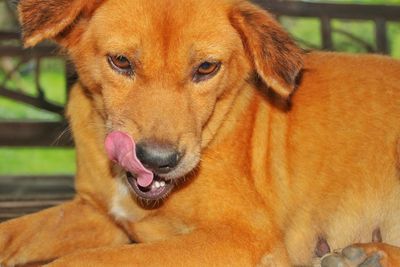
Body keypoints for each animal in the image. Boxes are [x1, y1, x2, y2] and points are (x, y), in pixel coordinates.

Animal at [0, 0, 400, 267]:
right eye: (120, 61)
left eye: (207, 68)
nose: (157, 161)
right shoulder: (96, 214)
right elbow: (16, 231)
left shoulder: (242, 237)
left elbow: (88, 260)